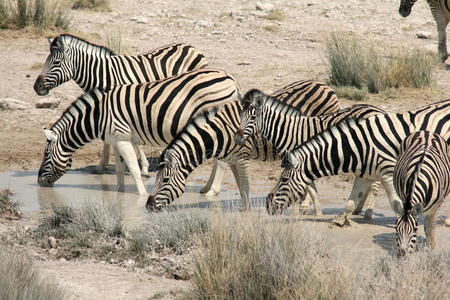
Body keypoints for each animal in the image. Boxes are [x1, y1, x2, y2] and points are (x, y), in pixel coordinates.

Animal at [33, 33, 209, 172]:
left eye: (56, 63)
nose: (36, 87)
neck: (103, 74)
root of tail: (190, 46)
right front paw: (103, 166)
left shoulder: (127, 103)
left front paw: (143, 166)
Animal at [148, 83, 376, 212]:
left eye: (164, 180)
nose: (148, 206)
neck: (219, 131)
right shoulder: (232, 159)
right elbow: (240, 187)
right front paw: (244, 208)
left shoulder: (242, 157)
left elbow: (245, 185)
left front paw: (247, 211)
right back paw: (357, 209)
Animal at [234, 89, 384, 220]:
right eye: (240, 115)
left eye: (253, 117)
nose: (237, 138)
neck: (290, 132)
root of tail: (379, 110)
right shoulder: (305, 162)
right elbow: (311, 189)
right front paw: (318, 212)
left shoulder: (299, 161)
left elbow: (300, 187)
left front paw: (296, 213)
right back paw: (358, 209)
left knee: (375, 185)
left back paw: (368, 213)